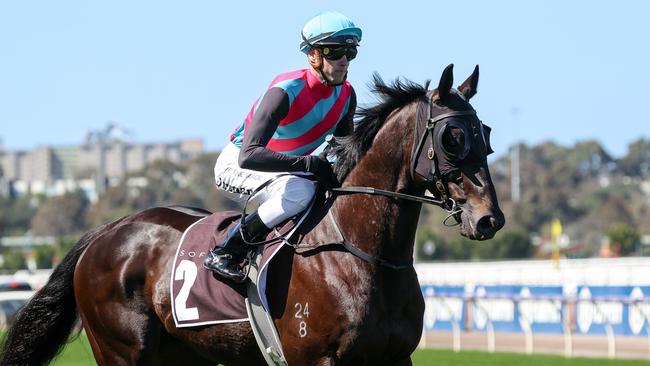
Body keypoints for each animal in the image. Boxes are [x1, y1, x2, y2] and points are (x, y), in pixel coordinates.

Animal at [0, 64, 504, 364]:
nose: (489, 218)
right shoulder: (316, 359)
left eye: (485, 132)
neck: (361, 253)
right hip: (121, 351)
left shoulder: (395, 357)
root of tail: (107, 231)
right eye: (452, 137)